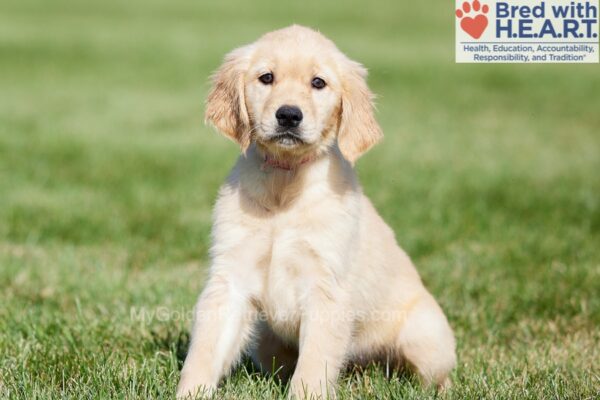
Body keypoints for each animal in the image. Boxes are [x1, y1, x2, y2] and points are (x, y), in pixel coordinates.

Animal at [177, 25, 454, 400]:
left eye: (318, 83)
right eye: (266, 77)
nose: (288, 115)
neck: (285, 182)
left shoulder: (326, 286)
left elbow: (314, 363)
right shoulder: (230, 275)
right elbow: (206, 348)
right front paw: (191, 391)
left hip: (425, 338)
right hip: (264, 340)